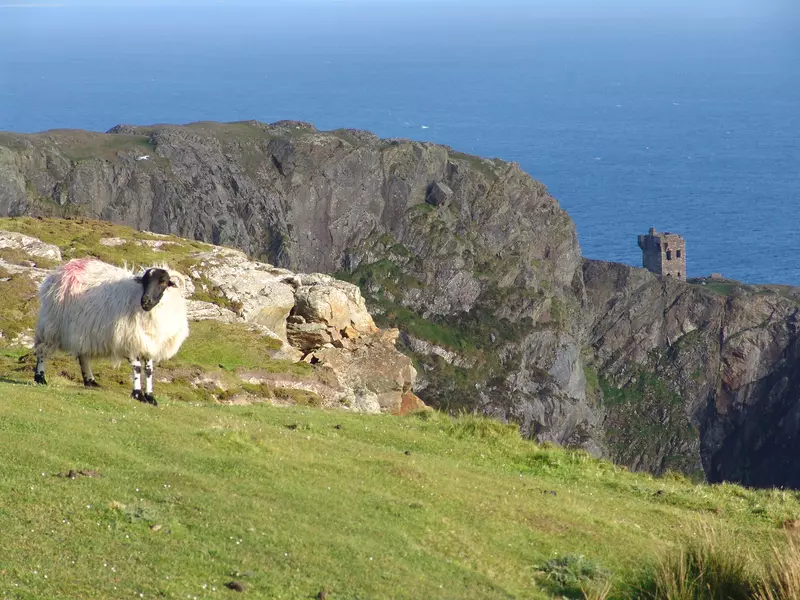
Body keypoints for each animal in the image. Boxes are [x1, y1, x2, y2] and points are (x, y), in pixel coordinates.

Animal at [33, 258, 190, 406]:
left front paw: (150, 397)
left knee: (83, 357)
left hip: (83, 330)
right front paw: (138, 394)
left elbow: (149, 371)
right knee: (42, 351)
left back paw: (90, 381)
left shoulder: (149, 344)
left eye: (163, 282)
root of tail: (62, 269)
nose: (145, 301)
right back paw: (40, 378)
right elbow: (137, 368)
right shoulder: (129, 340)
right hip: (51, 325)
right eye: (144, 282)